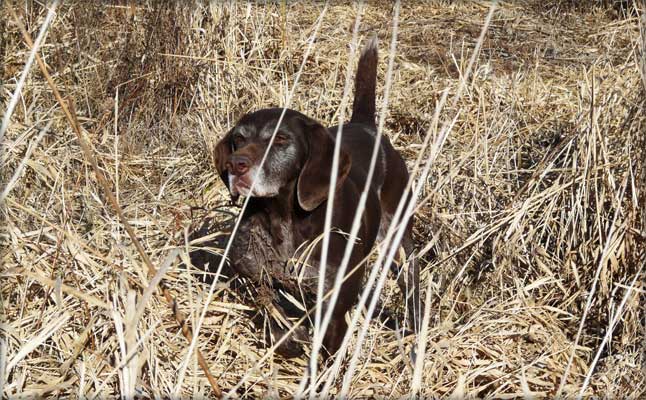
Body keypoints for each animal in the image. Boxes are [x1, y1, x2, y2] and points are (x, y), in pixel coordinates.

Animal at [215, 36, 422, 356]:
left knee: (411, 283)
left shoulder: (333, 310)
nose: (236, 165)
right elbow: (278, 323)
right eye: (238, 138)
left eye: (281, 139)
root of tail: (366, 126)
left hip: (398, 241)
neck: (284, 219)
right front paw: (294, 337)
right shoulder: (259, 284)